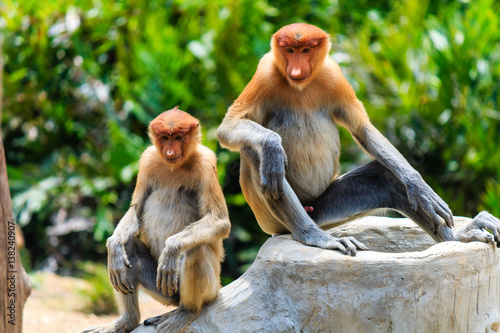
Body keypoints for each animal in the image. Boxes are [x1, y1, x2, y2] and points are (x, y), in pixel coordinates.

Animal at [83, 106, 230, 332]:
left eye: (178, 137)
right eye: (165, 138)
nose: (169, 152)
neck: (176, 166)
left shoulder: (207, 163)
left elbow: (220, 221)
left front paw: (171, 249)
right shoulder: (147, 159)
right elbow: (136, 209)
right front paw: (113, 245)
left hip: (209, 288)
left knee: (196, 248)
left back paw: (186, 311)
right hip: (163, 292)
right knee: (129, 248)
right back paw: (127, 320)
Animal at [218, 22, 500, 254]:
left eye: (305, 50)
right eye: (289, 50)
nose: (295, 70)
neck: (300, 86)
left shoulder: (334, 75)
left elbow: (363, 129)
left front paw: (420, 188)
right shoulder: (265, 73)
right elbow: (228, 128)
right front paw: (272, 146)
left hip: (325, 207)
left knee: (387, 178)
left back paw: (460, 237)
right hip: (271, 219)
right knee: (255, 153)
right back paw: (313, 235)